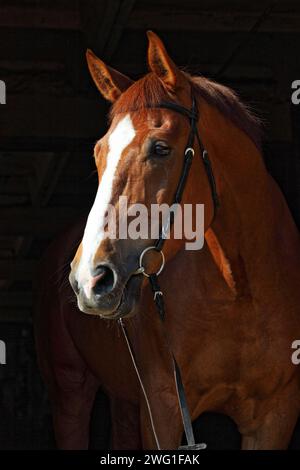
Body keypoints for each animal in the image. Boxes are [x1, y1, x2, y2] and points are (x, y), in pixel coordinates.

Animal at [34, 31, 300, 450]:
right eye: (98, 152)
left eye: (160, 148)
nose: (89, 279)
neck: (240, 292)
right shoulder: (163, 409)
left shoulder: (276, 415)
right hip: (69, 390)